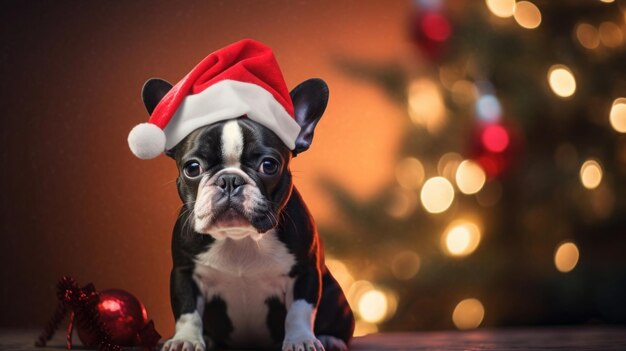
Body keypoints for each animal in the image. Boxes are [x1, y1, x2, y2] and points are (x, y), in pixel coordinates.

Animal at [143, 77, 356, 351]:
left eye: (269, 165)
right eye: (192, 168)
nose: (229, 180)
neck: (239, 237)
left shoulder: (305, 272)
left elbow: (299, 311)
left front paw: (301, 340)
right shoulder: (185, 272)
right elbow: (187, 311)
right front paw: (186, 340)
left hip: (334, 295)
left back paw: (330, 338)